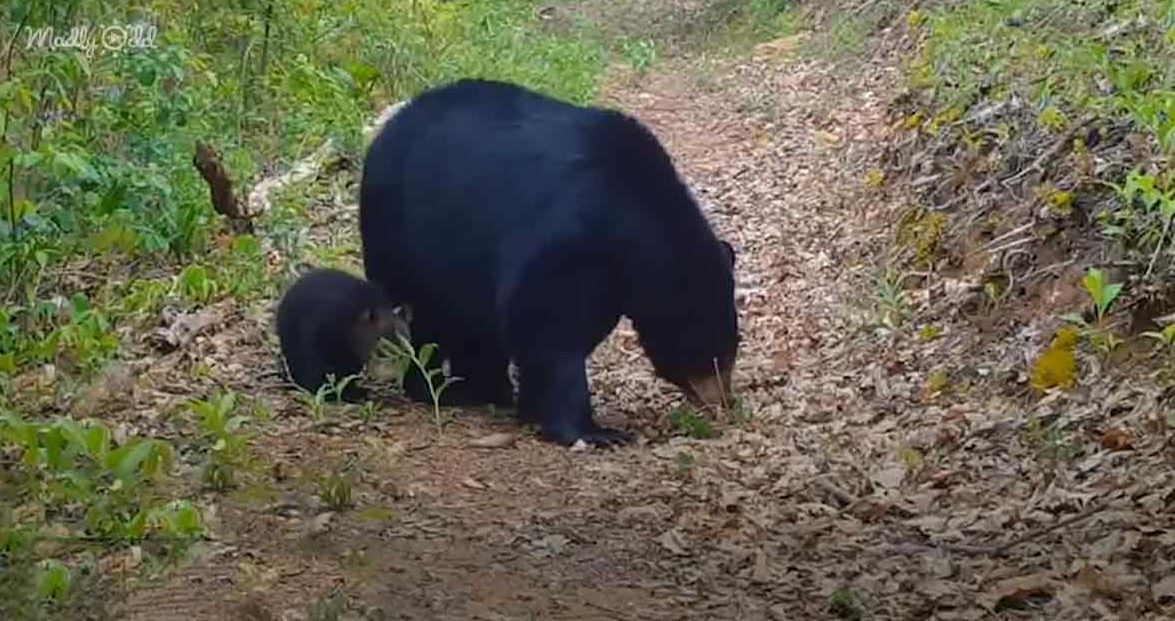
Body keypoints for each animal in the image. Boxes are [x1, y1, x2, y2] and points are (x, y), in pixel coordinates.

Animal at [361, 78, 737, 446]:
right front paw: (592, 431)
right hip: (401, 234)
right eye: (711, 354)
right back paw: (436, 388)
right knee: (426, 319)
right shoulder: (569, 236)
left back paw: (490, 389)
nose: (723, 401)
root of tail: (392, 123)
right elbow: (545, 322)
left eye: (730, 350)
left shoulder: (610, 279)